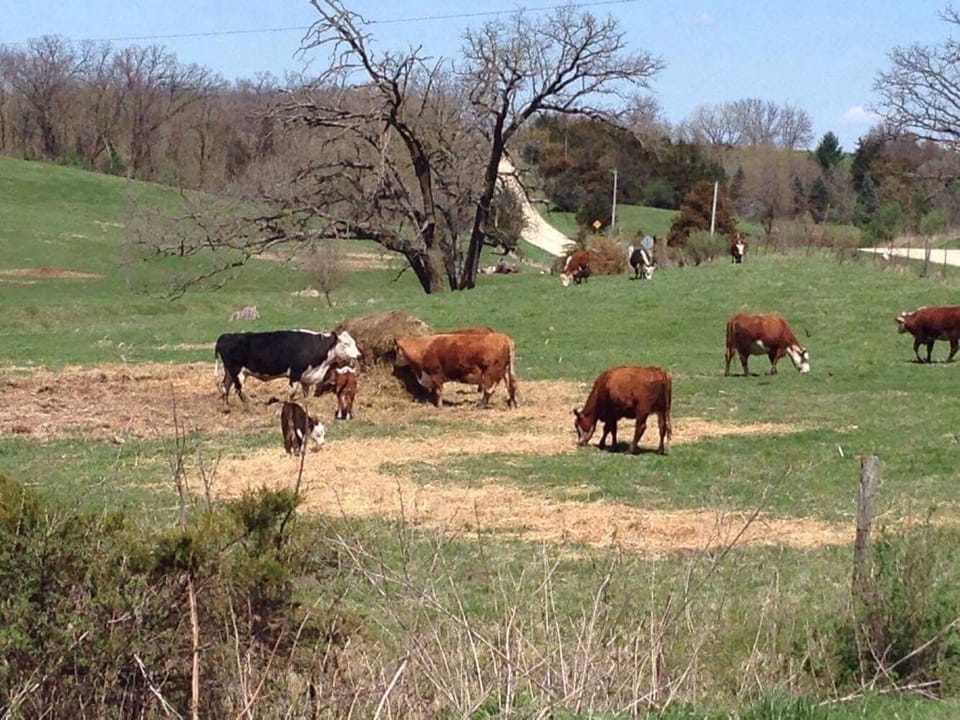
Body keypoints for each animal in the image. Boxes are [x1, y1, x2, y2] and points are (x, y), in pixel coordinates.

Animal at [214, 329, 361, 404]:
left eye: (354, 342)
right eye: (346, 344)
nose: (359, 355)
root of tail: (225, 336)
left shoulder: (306, 376)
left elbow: (306, 392)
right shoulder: (295, 372)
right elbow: (292, 391)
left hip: (231, 371)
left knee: (225, 386)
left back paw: (226, 406)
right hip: (237, 371)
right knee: (239, 389)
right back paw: (250, 405)